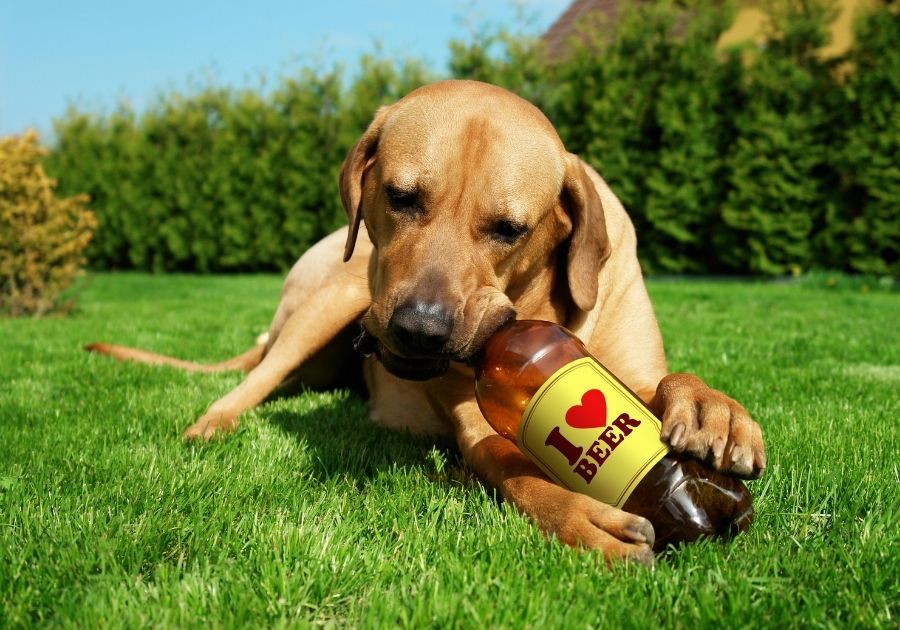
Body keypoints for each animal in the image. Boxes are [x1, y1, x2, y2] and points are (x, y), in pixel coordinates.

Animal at [88, 80, 768, 568]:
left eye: (509, 229)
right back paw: (214, 421)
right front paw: (578, 517)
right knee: (256, 378)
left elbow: (667, 383)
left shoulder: (626, 369)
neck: (539, 311)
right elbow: (514, 468)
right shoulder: (478, 425)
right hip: (335, 296)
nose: (421, 328)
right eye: (400, 196)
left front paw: (713, 409)